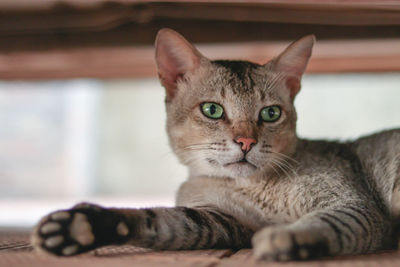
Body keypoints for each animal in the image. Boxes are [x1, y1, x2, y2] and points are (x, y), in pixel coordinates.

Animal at [32, 29, 400, 262]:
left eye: (270, 113)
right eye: (213, 110)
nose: (246, 141)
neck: (253, 187)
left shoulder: (353, 203)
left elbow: (326, 223)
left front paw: (289, 237)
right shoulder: (223, 221)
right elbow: (159, 219)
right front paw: (84, 226)